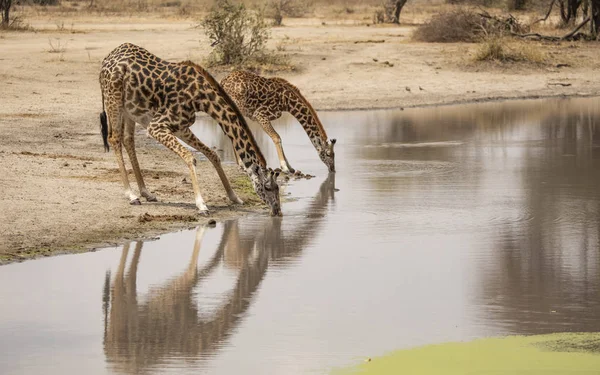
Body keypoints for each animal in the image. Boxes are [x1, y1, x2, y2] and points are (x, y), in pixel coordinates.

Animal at [99, 43, 282, 216]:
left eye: (278, 187)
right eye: (267, 187)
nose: (277, 210)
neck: (202, 98)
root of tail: (106, 59)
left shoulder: (180, 127)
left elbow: (213, 155)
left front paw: (234, 197)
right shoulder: (156, 126)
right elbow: (189, 157)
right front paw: (201, 205)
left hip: (131, 110)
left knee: (128, 140)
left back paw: (146, 193)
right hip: (113, 101)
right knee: (114, 139)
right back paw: (131, 195)